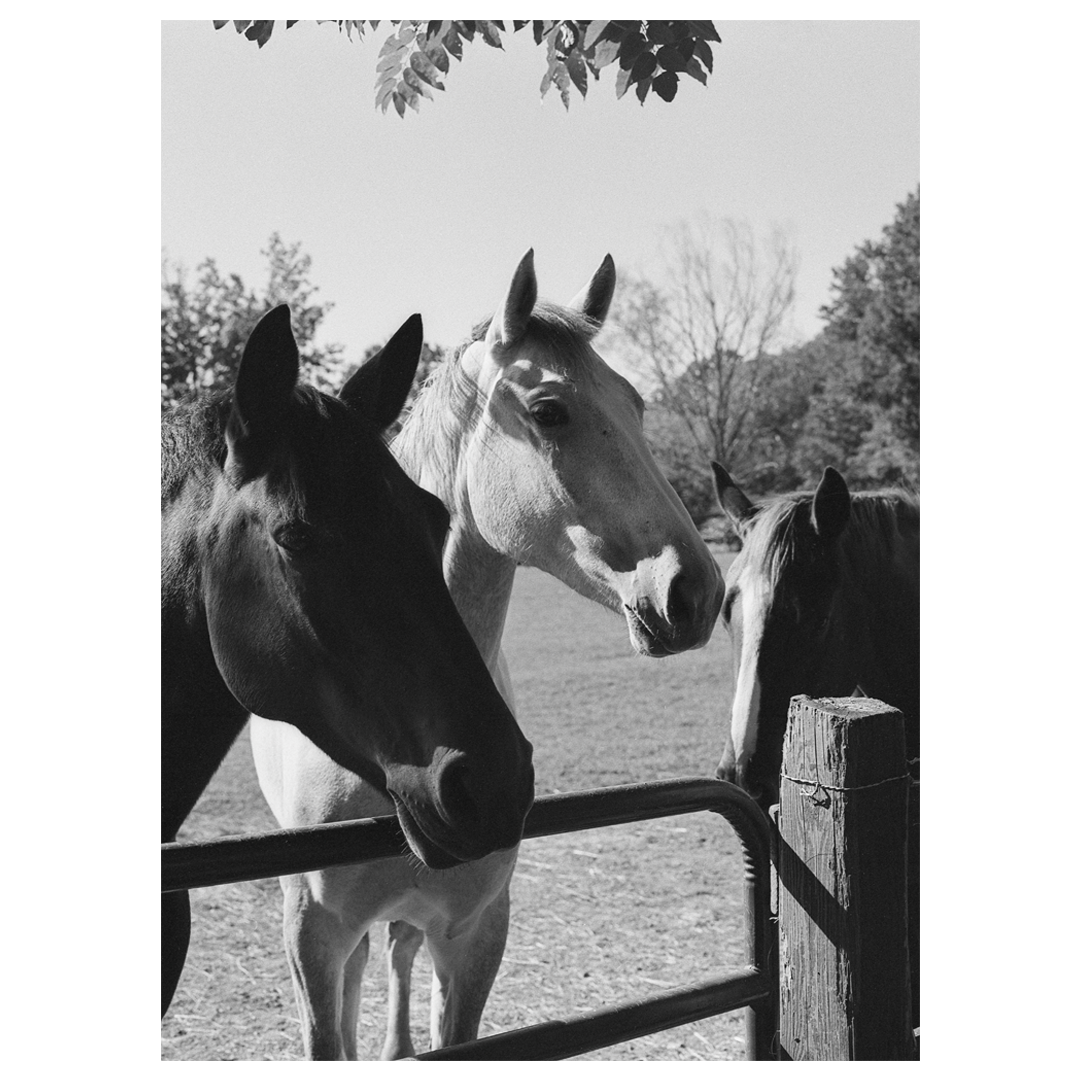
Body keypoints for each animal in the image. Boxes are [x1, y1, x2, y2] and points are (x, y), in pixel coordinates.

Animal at [250, 250, 725, 1059]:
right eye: (549, 411)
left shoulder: (474, 936)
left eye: (636, 404)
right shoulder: (311, 935)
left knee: (398, 952)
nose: (695, 592)